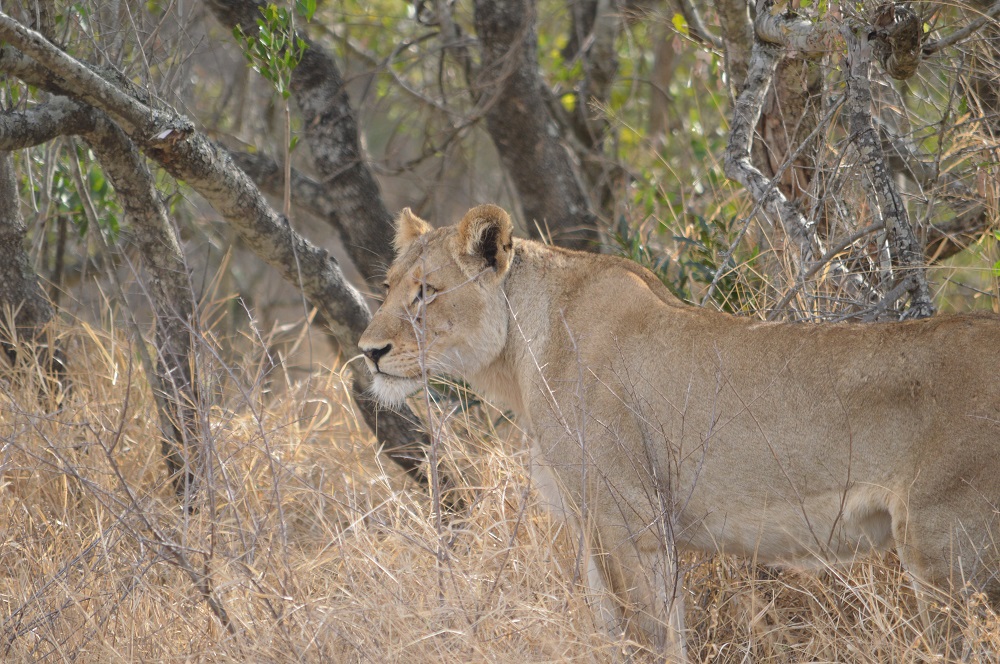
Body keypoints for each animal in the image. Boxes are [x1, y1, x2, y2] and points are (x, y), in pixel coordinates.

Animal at [358, 204, 1000, 660]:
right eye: (387, 287)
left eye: (426, 292)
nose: (369, 351)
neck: (521, 355)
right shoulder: (593, 525)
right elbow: (621, 634)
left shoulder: (629, 519)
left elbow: (649, 639)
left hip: (946, 550)